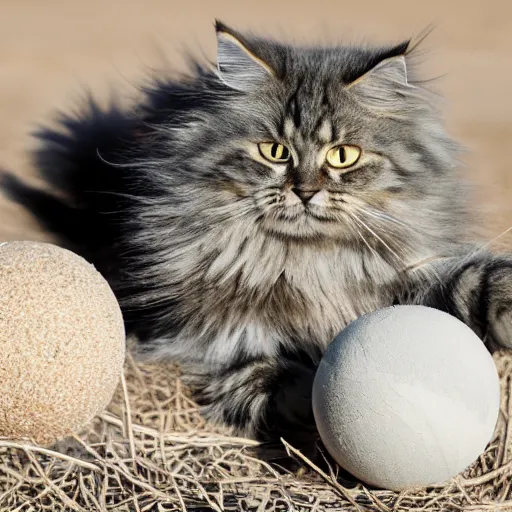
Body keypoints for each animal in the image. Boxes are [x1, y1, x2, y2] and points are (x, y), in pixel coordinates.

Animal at [4, 22, 512, 458]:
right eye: (275, 152)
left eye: (342, 156)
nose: (304, 191)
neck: (306, 262)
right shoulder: (207, 334)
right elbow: (262, 373)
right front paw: (313, 406)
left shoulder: (400, 277)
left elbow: (468, 280)